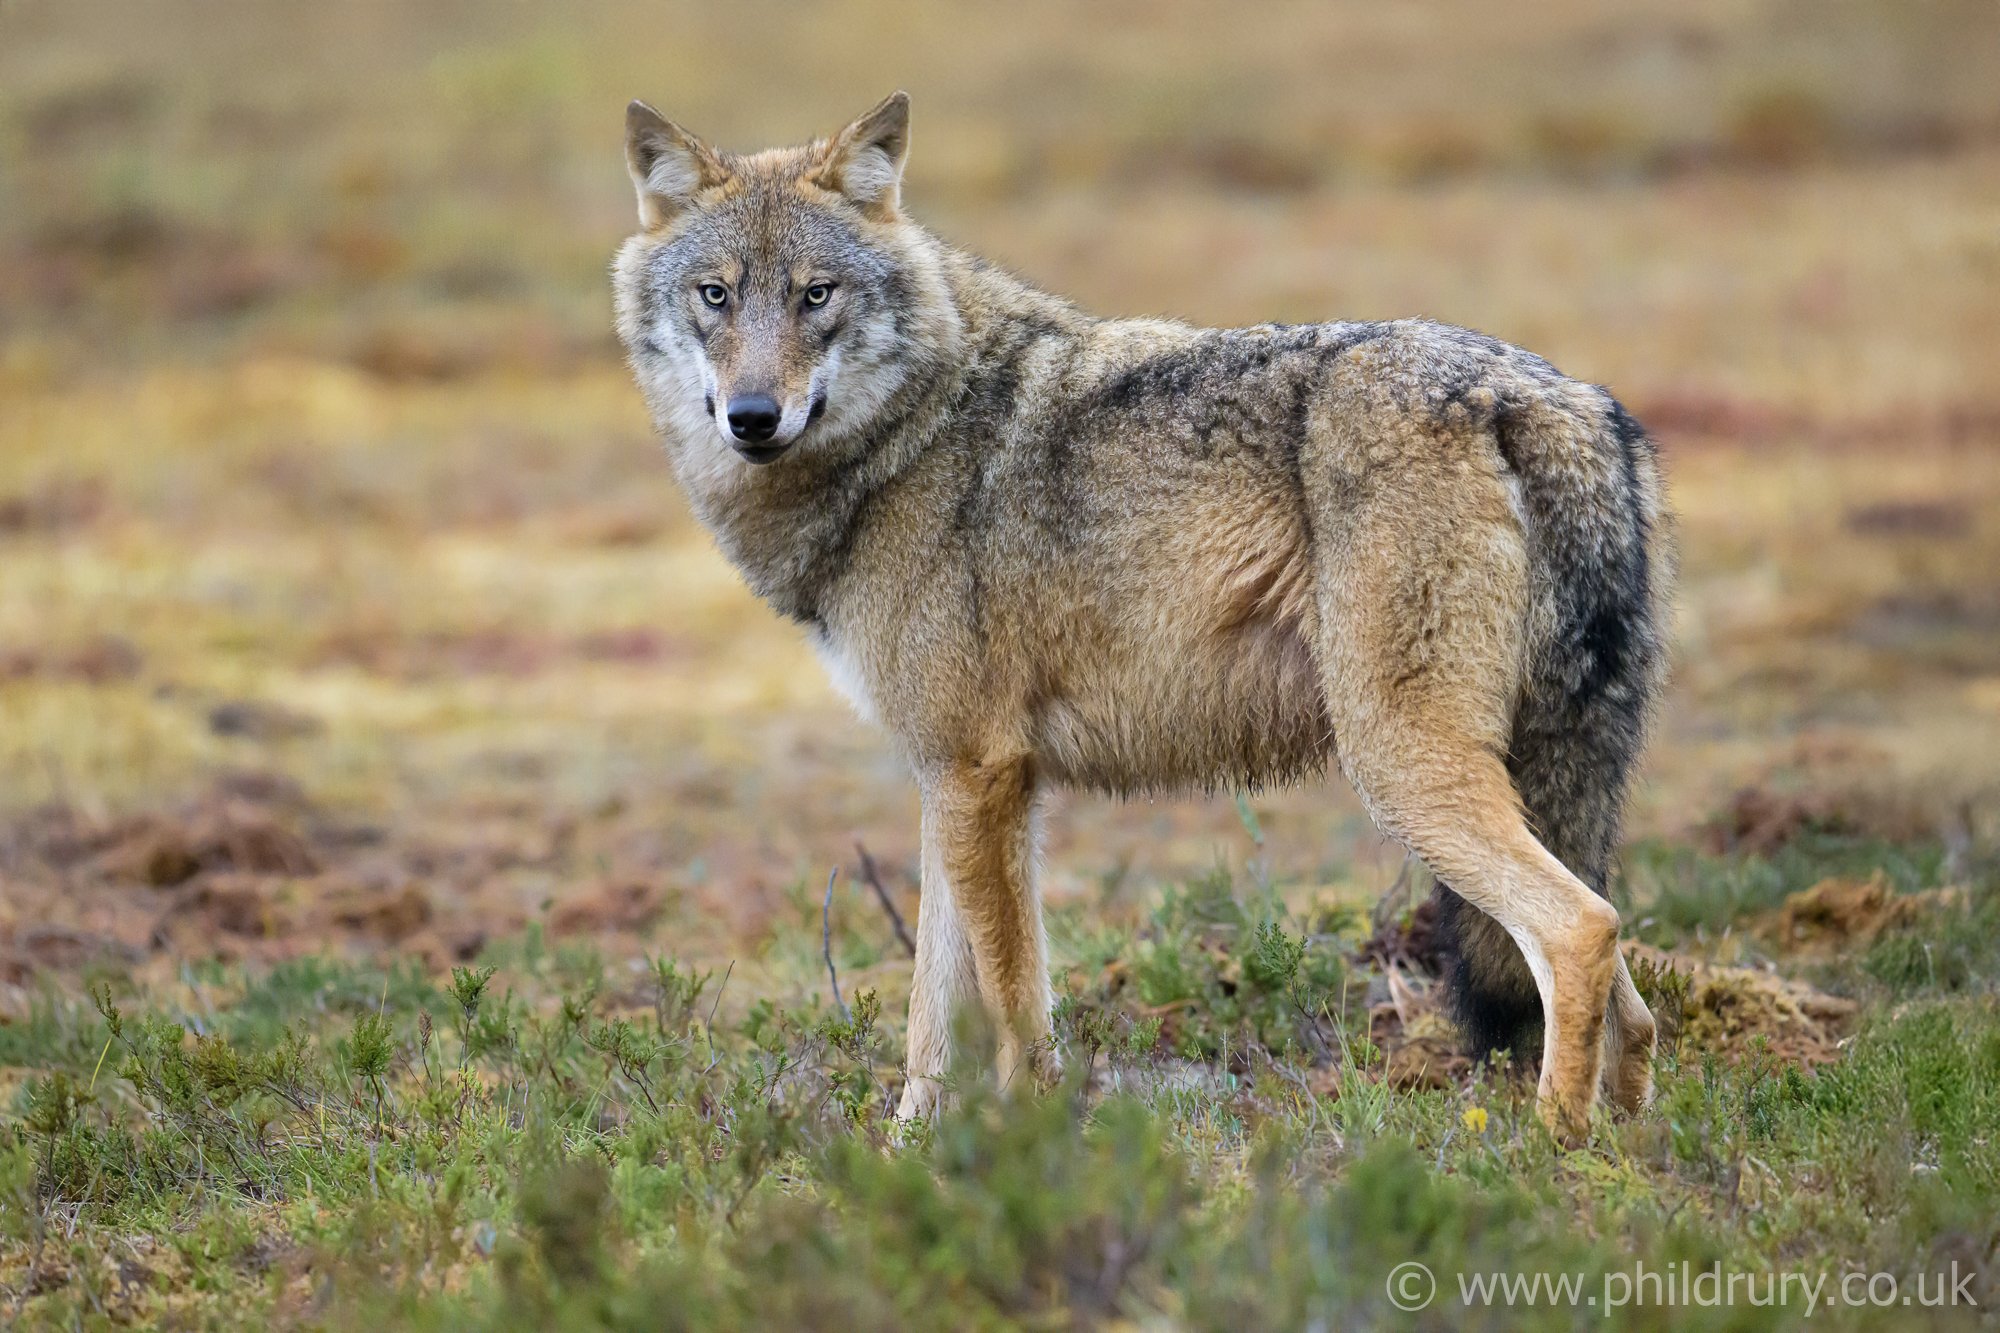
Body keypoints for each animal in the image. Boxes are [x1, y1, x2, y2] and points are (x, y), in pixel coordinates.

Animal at [611, 92, 1672, 1143]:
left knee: (1581, 929)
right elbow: (930, 1013)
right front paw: (907, 1152)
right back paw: (1633, 1149)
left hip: (1401, 769)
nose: (752, 416)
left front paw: (1026, 1144)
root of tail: (1546, 395)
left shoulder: (981, 773)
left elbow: (1012, 1004)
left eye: (816, 295)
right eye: (716, 295)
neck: (913, 435)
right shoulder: (952, 776)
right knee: (1635, 994)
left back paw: (1546, 1150)